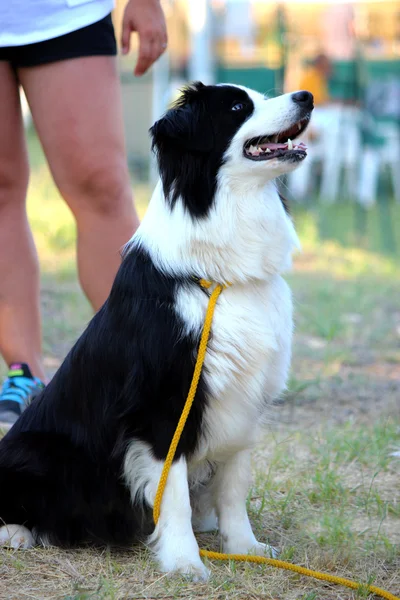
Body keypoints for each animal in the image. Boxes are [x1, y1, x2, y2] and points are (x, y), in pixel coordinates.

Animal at [0, 82, 312, 580]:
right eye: (238, 106)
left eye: (264, 96)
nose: (306, 97)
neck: (217, 275)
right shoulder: (162, 404)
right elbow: (176, 494)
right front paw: (184, 562)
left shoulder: (245, 398)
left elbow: (234, 486)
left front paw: (246, 548)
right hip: (41, 452)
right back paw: (16, 533)